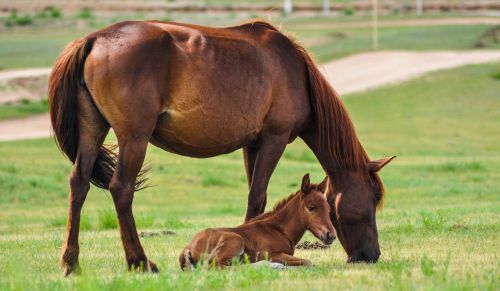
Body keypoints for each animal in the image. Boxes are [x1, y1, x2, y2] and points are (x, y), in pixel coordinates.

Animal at [180, 173, 336, 272]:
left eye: (328, 209)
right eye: (311, 208)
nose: (331, 235)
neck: (279, 230)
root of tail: (189, 246)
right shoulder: (270, 253)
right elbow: (308, 262)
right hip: (235, 240)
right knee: (217, 267)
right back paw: (269, 266)